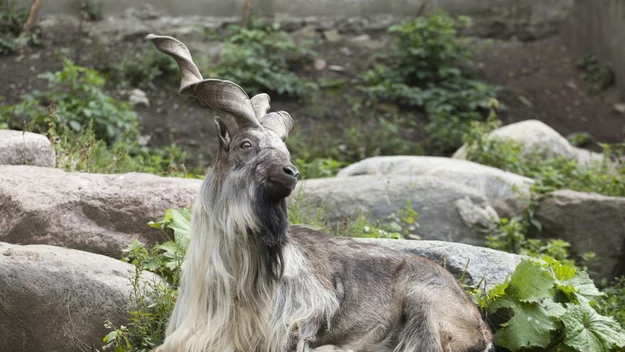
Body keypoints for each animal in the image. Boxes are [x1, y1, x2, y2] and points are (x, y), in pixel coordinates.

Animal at [149, 33, 494, 352]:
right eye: (245, 144)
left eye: (285, 150)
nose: (291, 173)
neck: (229, 287)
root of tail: (479, 325)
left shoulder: (300, 322)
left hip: (425, 304)